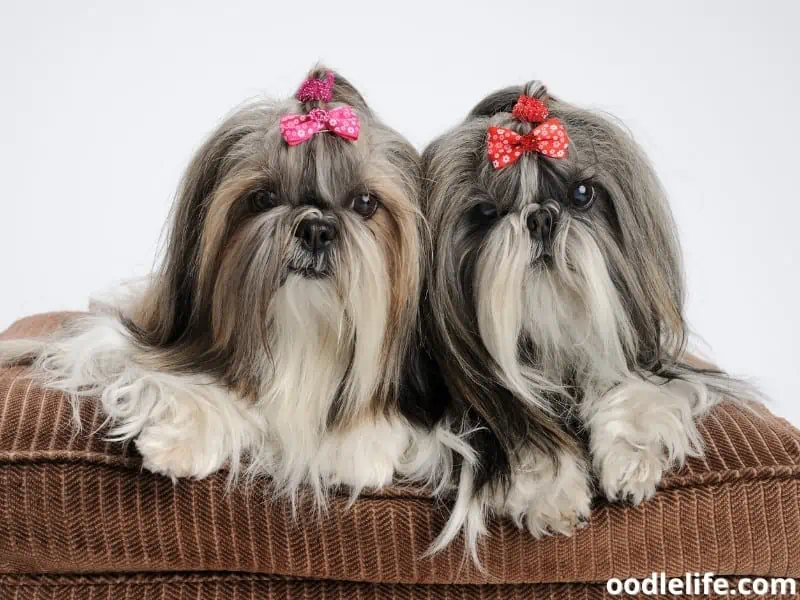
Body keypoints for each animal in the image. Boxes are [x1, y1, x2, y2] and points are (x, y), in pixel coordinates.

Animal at [422, 79, 752, 564]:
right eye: (485, 213)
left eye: (582, 194)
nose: (541, 217)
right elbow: (521, 432)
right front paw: (551, 494)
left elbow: (634, 395)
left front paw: (631, 461)